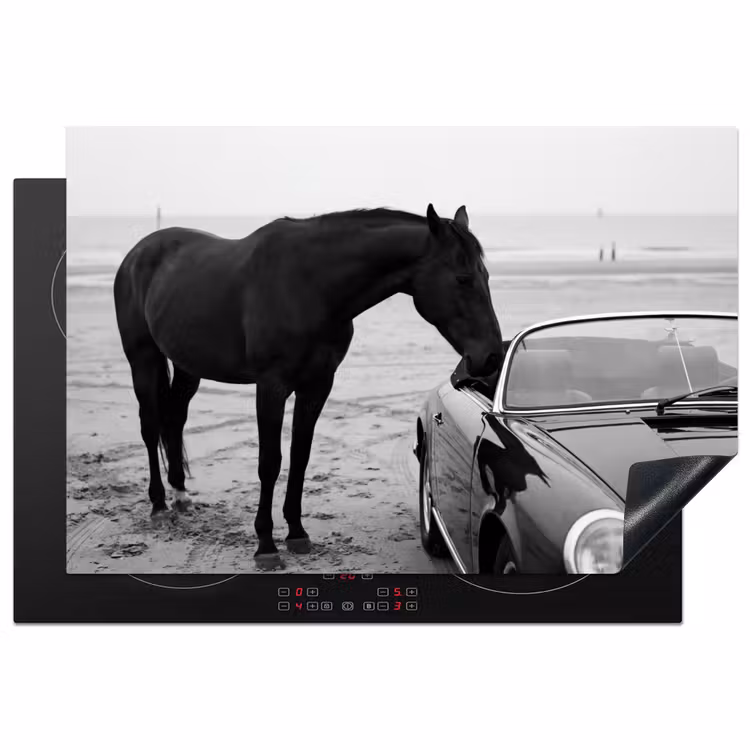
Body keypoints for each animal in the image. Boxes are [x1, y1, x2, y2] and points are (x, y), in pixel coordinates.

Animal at [114, 204, 503, 568]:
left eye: (486, 275)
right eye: (463, 278)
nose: (491, 357)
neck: (310, 286)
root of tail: (137, 253)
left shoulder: (316, 386)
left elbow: (300, 456)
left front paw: (297, 534)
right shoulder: (271, 387)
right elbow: (270, 462)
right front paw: (266, 546)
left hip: (187, 366)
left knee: (175, 418)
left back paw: (180, 494)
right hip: (143, 360)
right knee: (150, 426)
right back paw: (159, 505)